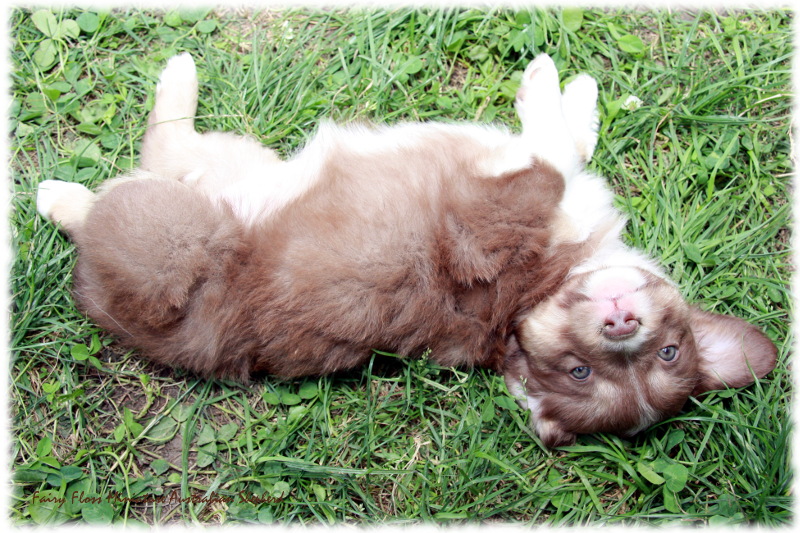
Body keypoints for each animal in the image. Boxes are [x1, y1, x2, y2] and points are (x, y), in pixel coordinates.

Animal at [36, 54, 776, 446]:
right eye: (671, 350)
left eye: (580, 372)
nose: (622, 324)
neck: (535, 293)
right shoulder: (521, 196)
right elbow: (567, 148)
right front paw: (572, 90)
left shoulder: (499, 207)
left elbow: (554, 153)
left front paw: (551, 88)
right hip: (236, 169)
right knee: (157, 153)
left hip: (185, 217)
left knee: (140, 170)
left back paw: (61, 190)